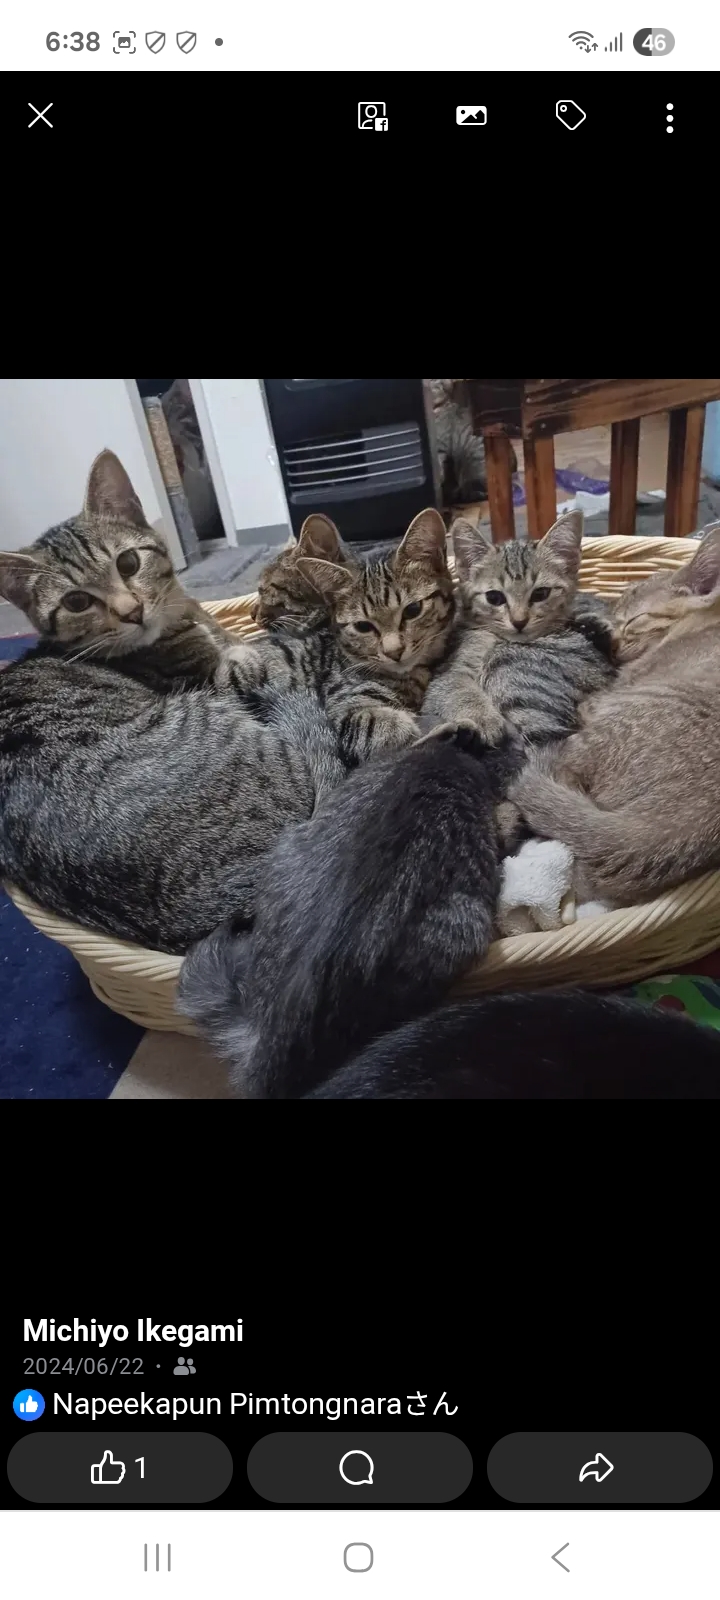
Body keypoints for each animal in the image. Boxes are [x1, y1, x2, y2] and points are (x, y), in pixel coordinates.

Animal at [422, 512, 615, 746]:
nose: (519, 621)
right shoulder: (450, 669)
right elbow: (456, 688)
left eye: (541, 594)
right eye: (494, 597)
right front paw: (484, 719)